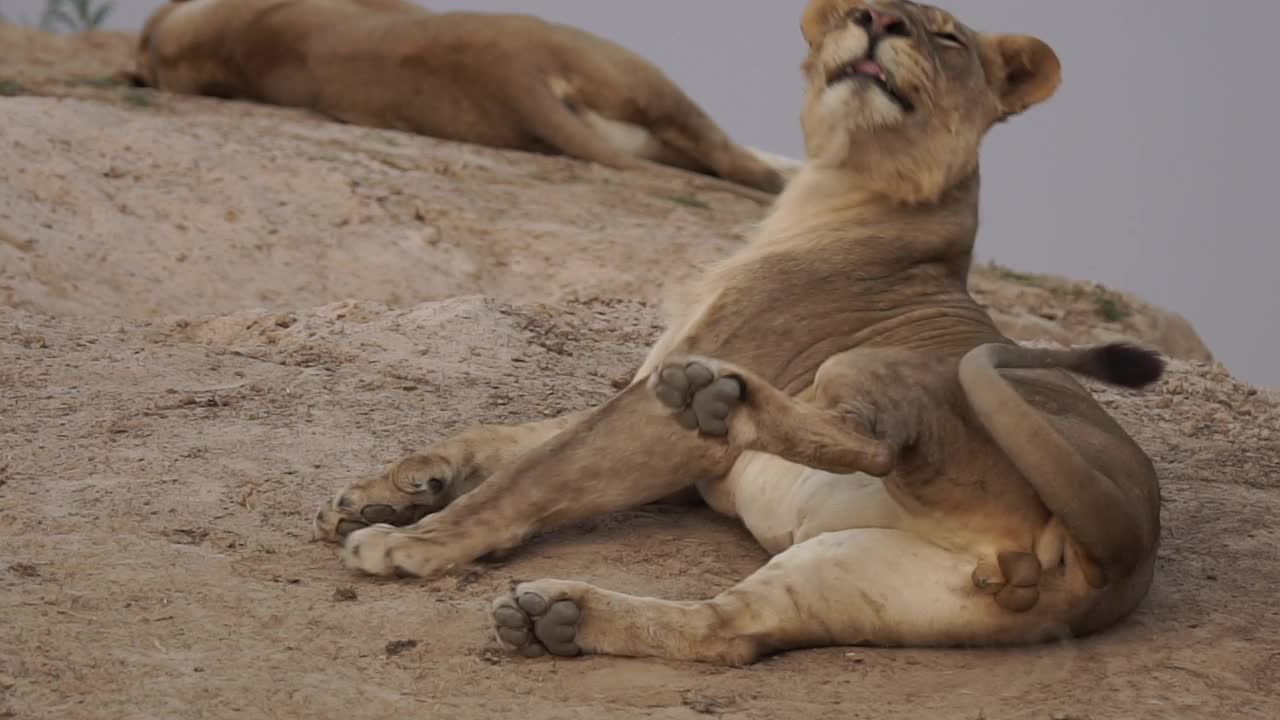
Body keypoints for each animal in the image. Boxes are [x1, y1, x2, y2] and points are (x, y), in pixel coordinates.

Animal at [314, 0, 1167, 661]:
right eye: (864, 8)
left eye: (947, 37)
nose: (879, 20)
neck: (834, 188)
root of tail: (1127, 543)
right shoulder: (648, 383)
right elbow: (503, 437)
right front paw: (377, 495)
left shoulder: (665, 424)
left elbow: (538, 469)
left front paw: (410, 543)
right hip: (852, 573)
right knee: (729, 633)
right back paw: (556, 618)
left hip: (866, 370)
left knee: (880, 443)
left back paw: (723, 408)